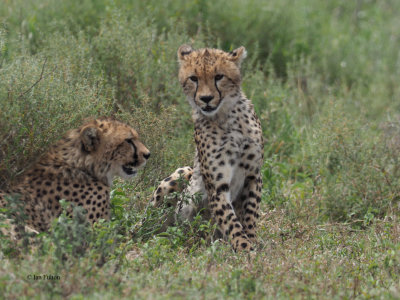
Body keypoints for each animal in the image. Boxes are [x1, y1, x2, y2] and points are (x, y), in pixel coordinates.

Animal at [152, 44, 264, 251]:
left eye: (219, 76)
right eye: (193, 78)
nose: (205, 98)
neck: (226, 116)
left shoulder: (254, 174)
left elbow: (250, 213)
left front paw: (252, 243)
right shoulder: (217, 185)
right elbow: (231, 221)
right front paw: (245, 249)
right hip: (182, 174)